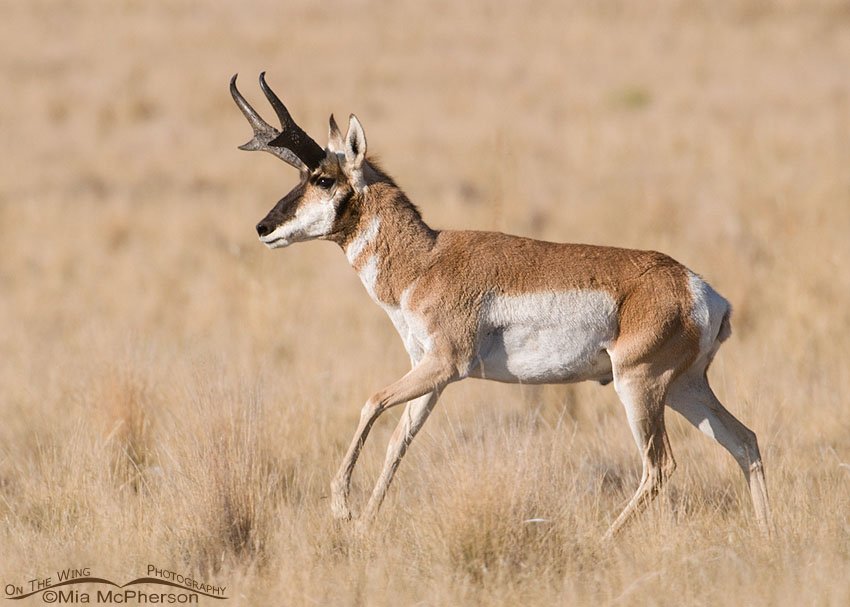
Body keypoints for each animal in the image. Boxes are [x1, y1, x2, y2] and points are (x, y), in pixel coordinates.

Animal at [230, 73, 772, 538]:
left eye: (323, 178)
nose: (262, 227)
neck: (426, 259)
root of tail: (697, 289)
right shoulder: (430, 374)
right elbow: (399, 440)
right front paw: (363, 526)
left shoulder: (445, 366)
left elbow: (372, 401)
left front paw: (342, 509)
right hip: (684, 388)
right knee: (744, 440)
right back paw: (769, 537)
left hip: (640, 387)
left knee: (660, 466)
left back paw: (600, 541)